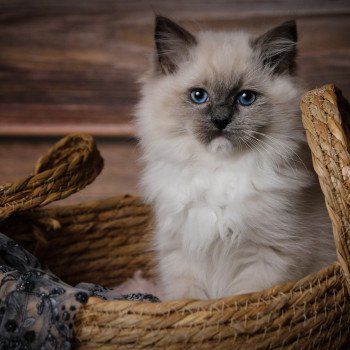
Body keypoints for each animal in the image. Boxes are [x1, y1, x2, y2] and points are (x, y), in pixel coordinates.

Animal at [135, 16, 336, 300]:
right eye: (199, 96)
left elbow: (244, 297)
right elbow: (189, 300)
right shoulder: (182, 256)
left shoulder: (268, 257)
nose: (220, 120)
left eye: (246, 98)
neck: (219, 170)